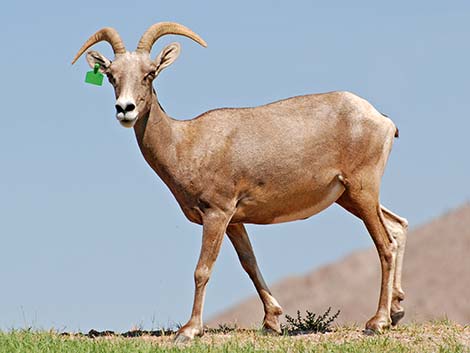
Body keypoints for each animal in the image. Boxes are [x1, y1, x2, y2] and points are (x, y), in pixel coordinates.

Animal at [72, 22, 408, 340]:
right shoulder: (235, 221)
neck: (187, 144)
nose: (125, 109)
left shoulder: (216, 214)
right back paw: (396, 310)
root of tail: (382, 121)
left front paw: (189, 331)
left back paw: (377, 322)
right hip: (350, 197)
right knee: (398, 226)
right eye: (112, 75)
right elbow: (249, 263)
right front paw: (271, 322)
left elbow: (202, 270)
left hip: (362, 191)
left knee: (385, 244)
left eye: (150, 74)